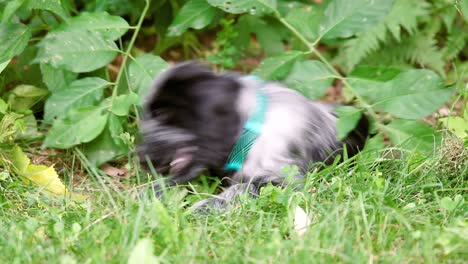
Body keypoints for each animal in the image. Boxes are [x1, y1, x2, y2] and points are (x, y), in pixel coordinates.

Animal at [139, 62, 370, 210]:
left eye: (162, 114)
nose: (140, 158)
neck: (251, 124)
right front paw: (151, 191)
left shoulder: (282, 180)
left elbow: (243, 187)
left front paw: (203, 208)